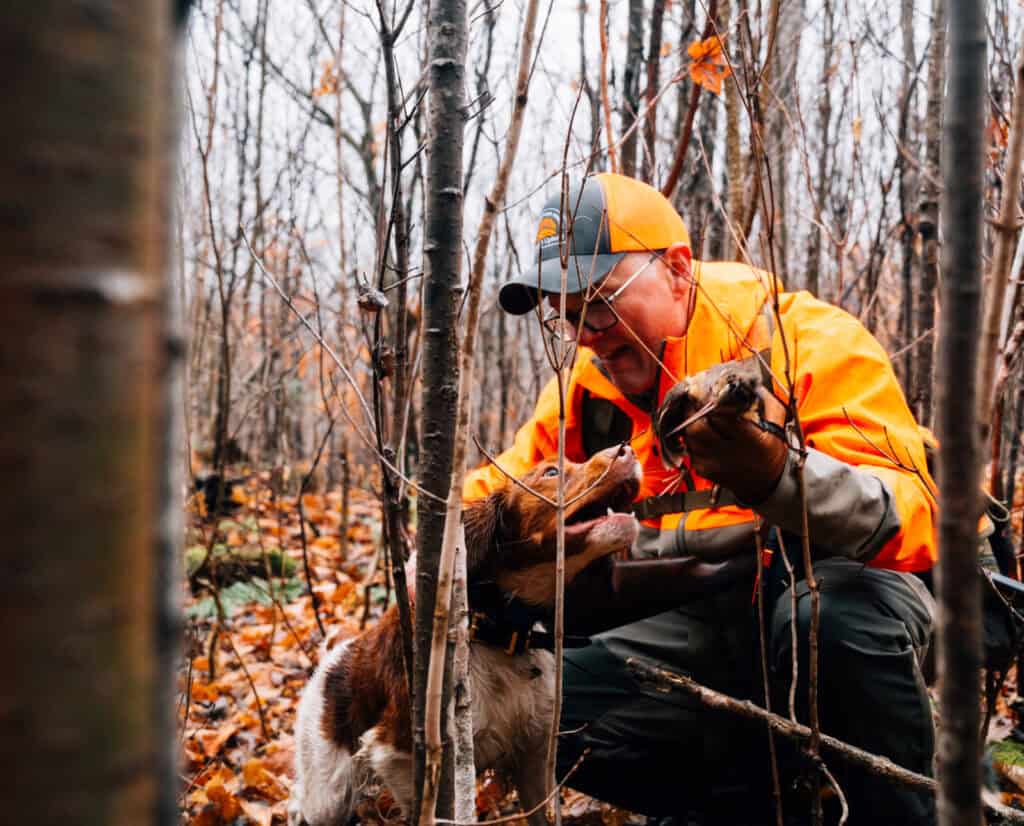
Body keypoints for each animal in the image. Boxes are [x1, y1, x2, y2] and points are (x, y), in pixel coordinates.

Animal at [288, 446, 638, 826]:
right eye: (551, 471)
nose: (627, 450)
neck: (500, 634)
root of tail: (332, 660)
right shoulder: (398, 754)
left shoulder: (535, 753)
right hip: (328, 794)